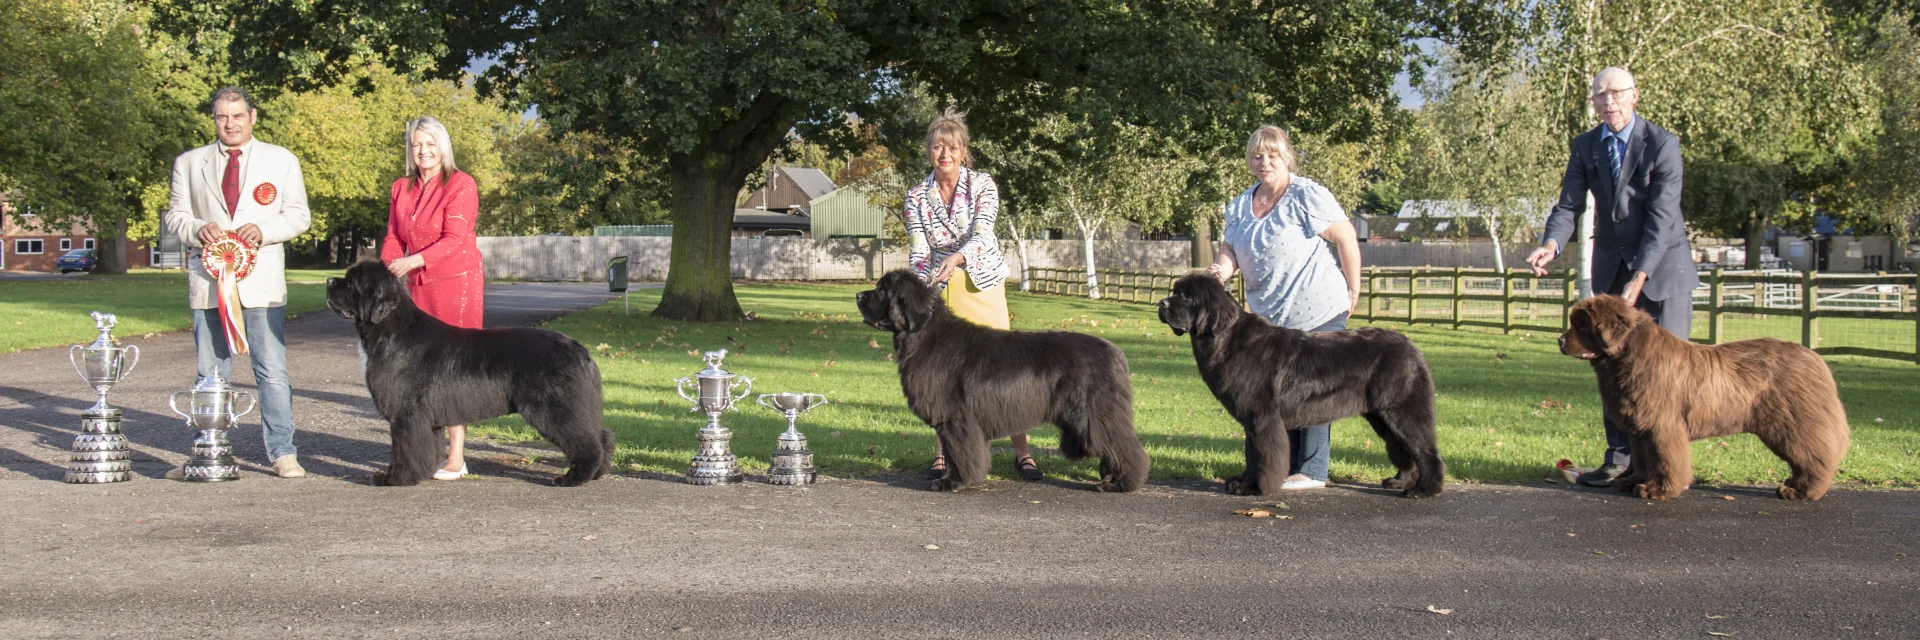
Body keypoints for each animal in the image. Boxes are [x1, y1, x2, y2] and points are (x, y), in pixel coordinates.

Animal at [318, 259, 610, 484]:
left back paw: (572, 478)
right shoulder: (427, 418)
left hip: (557, 408)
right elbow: (426, 449)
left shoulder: (406, 414)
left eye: (351, 283)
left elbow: (404, 449)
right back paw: (598, 473)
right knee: (602, 436)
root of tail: (580, 349)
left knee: (585, 442)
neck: (389, 331)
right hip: (580, 405)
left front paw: (393, 479)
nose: (329, 281)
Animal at [860, 267, 1144, 490]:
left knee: (1122, 445)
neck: (923, 333)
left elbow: (958, 451)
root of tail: (1116, 352)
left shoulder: (955, 417)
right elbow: (953, 452)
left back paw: (1122, 483)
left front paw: (953, 482)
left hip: (1094, 413)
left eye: (882, 290)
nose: (858, 295)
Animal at [1152, 270, 1443, 495]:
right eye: (1175, 291)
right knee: (1402, 447)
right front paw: (1242, 483)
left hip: (1402, 410)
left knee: (1425, 449)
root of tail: (1411, 346)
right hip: (1381, 416)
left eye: (1187, 296)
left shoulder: (1263, 416)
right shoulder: (1251, 420)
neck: (1224, 338)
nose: (1161, 304)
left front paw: (1256, 489)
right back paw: (1400, 481)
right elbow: (1252, 453)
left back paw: (1424, 490)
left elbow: (1265, 454)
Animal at [1566, 294, 1850, 499]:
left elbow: (1666, 459)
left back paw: (1800, 491)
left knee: (1815, 457)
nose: (1560, 341)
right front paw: (1632, 482)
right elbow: (1642, 458)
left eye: (1583, 326)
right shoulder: (1639, 430)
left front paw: (1658, 490)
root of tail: (1815, 359)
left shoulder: (1662, 426)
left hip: (1792, 424)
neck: (1627, 356)